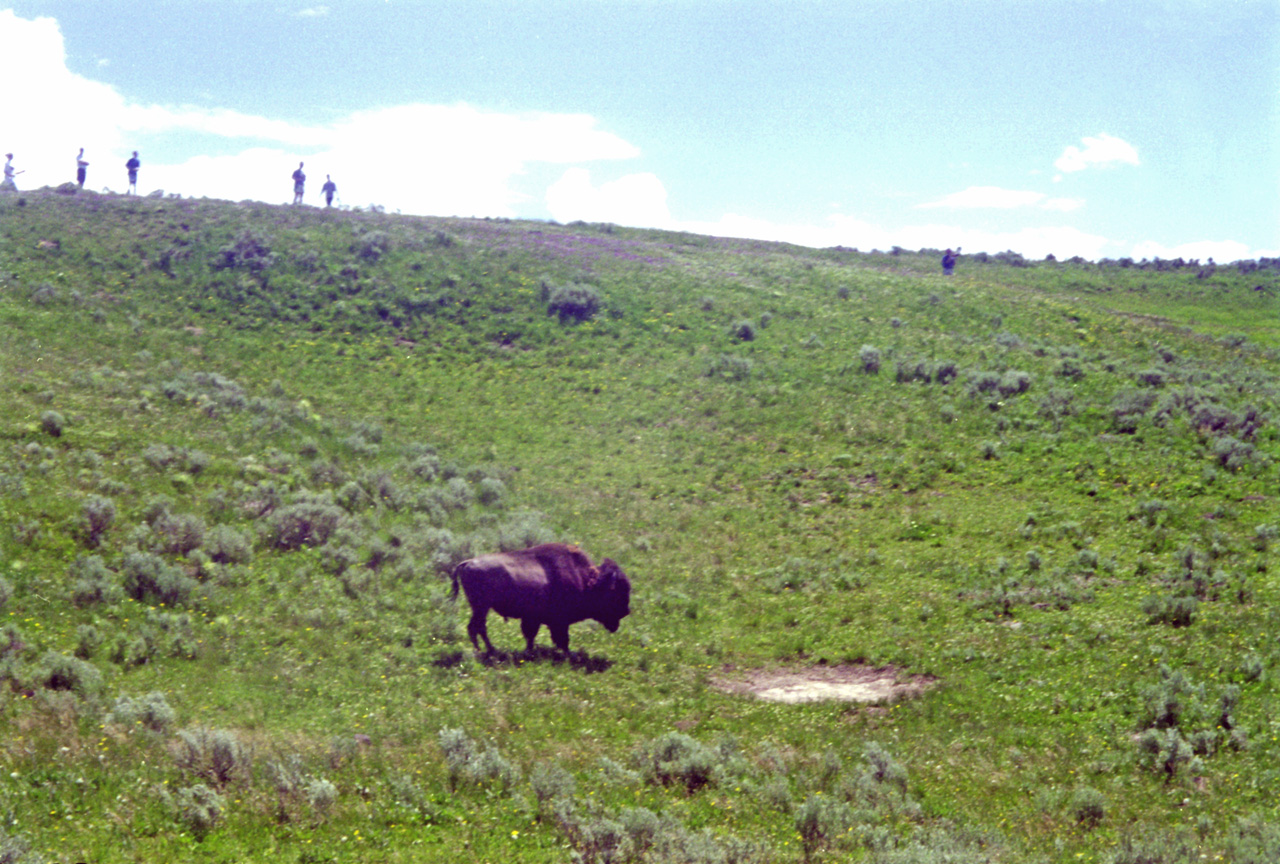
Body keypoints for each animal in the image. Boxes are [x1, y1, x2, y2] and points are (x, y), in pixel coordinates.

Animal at [450, 545, 629, 652]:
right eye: (617, 592)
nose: (626, 611)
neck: (584, 579)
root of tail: (468, 562)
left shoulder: (535, 619)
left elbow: (532, 635)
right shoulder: (558, 621)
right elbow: (561, 638)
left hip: (480, 608)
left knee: (476, 627)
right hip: (481, 607)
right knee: (477, 627)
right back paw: (488, 650)